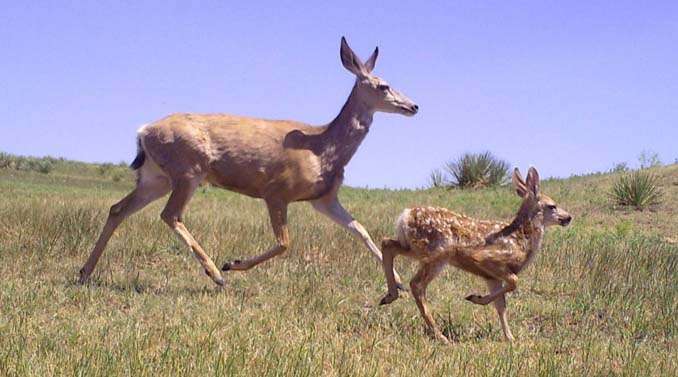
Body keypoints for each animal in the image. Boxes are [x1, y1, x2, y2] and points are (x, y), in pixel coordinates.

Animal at [79, 36, 420, 286]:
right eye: (383, 85)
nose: (413, 105)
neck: (322, 148)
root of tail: (143, 131)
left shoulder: (323, 198)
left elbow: (360, 229)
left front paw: (400, 283)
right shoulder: (276, 190)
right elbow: (285, 242)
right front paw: (234, 263)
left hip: (156, 177)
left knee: (118, 209)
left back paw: (85, 272)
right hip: (187, 170)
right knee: (170, 214)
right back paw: (217, 275)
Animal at [380, 167, 572, 344]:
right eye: (552, 206)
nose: (568, 217)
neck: (520, 239)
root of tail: (405, 216)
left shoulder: (492, 277)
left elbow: (501, 305)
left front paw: (510, 338)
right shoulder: (489, 260)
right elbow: (514, 282)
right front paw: (475, 298)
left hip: (414, 247)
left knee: (387, 244)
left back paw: (389, 296)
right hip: (439, 252)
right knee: (416, 284)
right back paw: (441, 336)